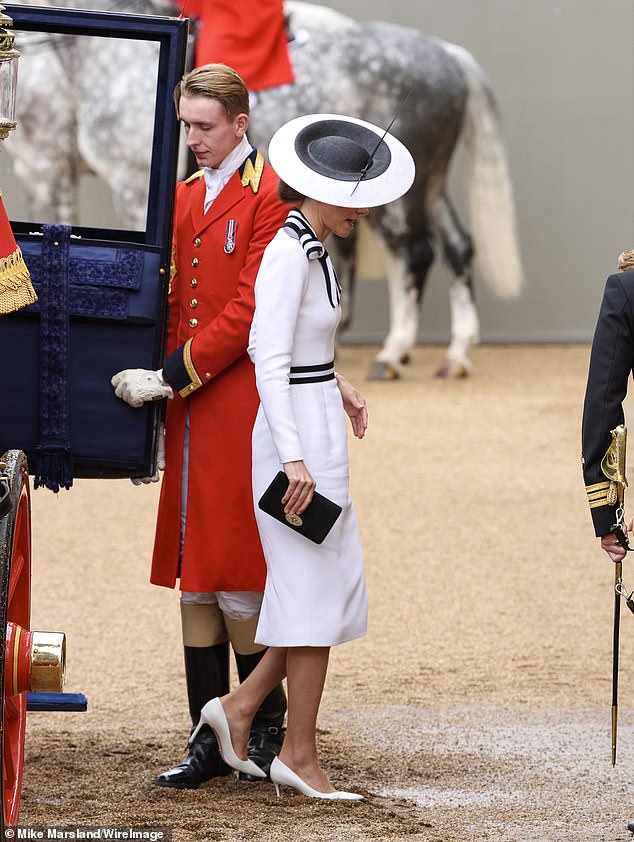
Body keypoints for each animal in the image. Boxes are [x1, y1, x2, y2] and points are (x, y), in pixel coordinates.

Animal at [4, 0, 520, 378]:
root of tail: (446, 54)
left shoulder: (106, 179)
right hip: (425, 182)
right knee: (455, 247)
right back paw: (454, 352)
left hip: (398, 194)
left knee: (412, 254)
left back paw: (393, 352)